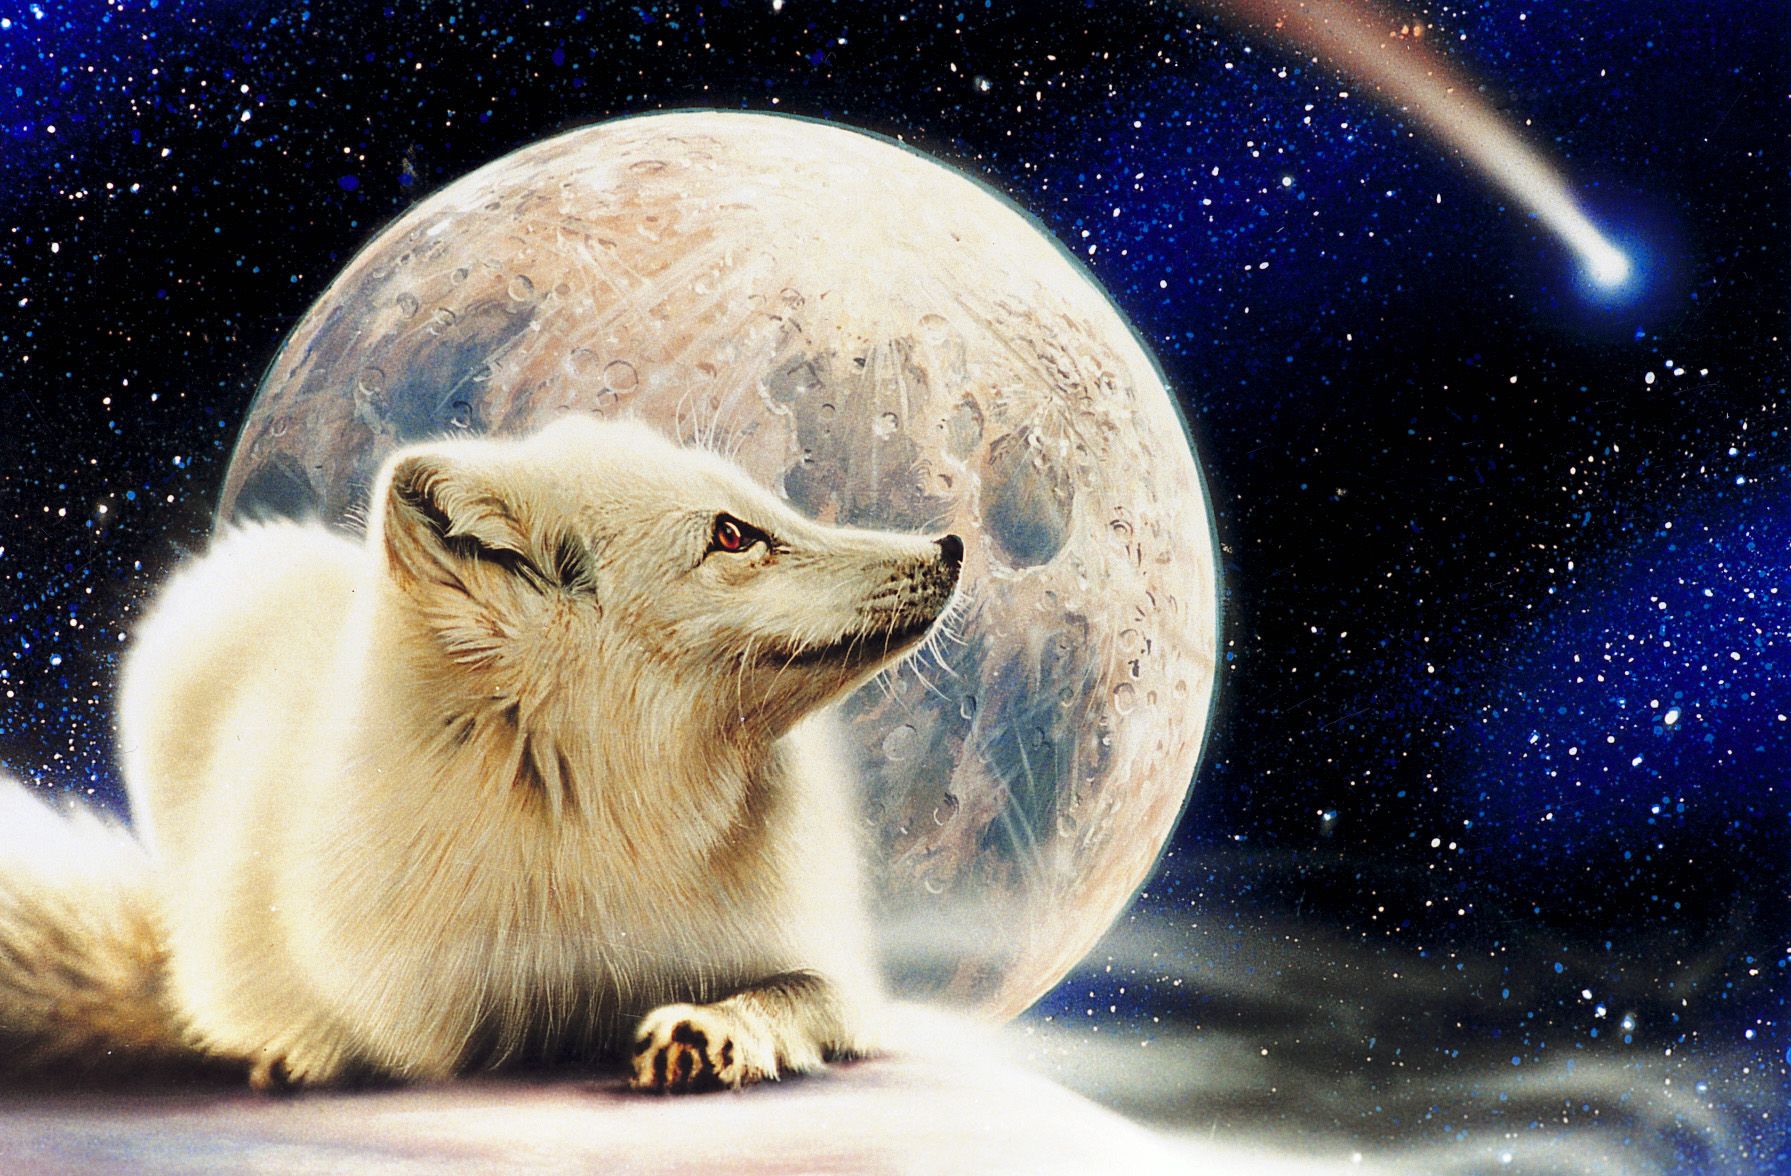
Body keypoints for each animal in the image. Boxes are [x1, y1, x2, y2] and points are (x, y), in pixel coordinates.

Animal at [0, 414, 963, 1093]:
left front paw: (711, 1030)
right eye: (732, 535)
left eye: (769, 506)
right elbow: (378, 1031)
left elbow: (790, 992)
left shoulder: (830, 966)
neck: (610, 813)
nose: (950, 545)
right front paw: (310, 1047)